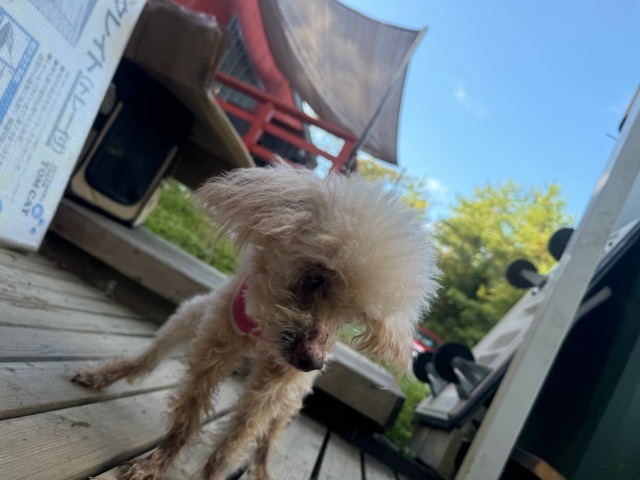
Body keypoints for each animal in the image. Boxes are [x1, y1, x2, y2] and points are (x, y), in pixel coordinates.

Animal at [72, 163, 439, 480]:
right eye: (314, 278)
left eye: (351, 316)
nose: (313, 362)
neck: (264, 328)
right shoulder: (217, 342)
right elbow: (187, 416)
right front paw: (155, 464)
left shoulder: (275, 384)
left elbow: (234, 441)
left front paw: (208, 473)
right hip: (192, 315)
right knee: (149, 357)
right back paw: (103, 375)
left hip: (291, 397)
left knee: (269, 439)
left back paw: (262, 469)